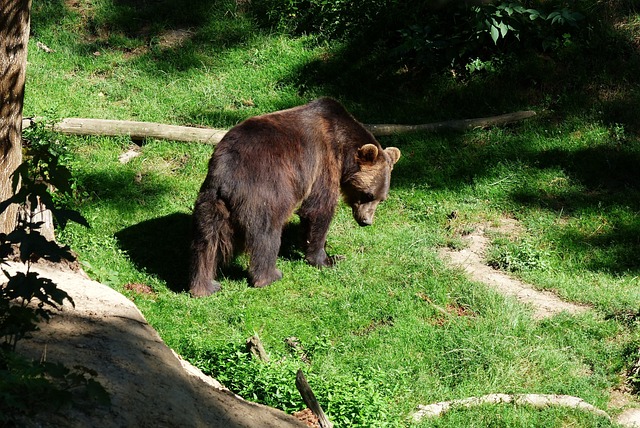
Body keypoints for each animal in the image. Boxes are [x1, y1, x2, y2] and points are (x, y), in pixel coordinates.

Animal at [189, 98, 400, 296]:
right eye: (368, 194)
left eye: (381, 199)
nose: (366, 221)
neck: (343, 145)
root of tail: (225, 172)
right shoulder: (323, 162)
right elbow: (318, 209)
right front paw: (327, 258)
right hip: (265, 192)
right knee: (267, 234)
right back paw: (270, 275)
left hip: (210, 200)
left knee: (206, 241)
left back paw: (206, 286)